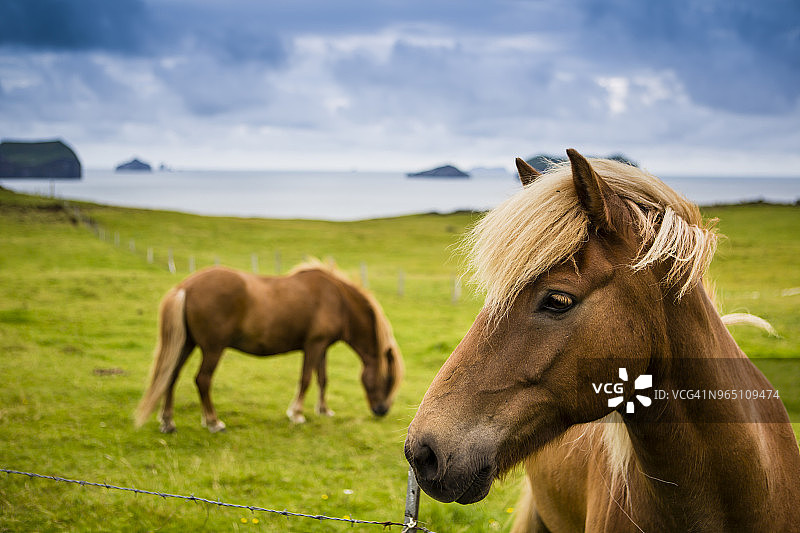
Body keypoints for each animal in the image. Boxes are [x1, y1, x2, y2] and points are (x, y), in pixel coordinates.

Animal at [136, 261, 404, 432]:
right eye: (388, 380)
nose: (382, 410)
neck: (338, 300)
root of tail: (186, 287)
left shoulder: (323, 348)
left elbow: (322, 379)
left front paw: (323, 410)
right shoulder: (313, 346)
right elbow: (306, 379)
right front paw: (297, 414)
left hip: (186, 344)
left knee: (171, 376)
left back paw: (168, 423)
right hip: (213, 349)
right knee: (202, 380)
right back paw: (213, 422)